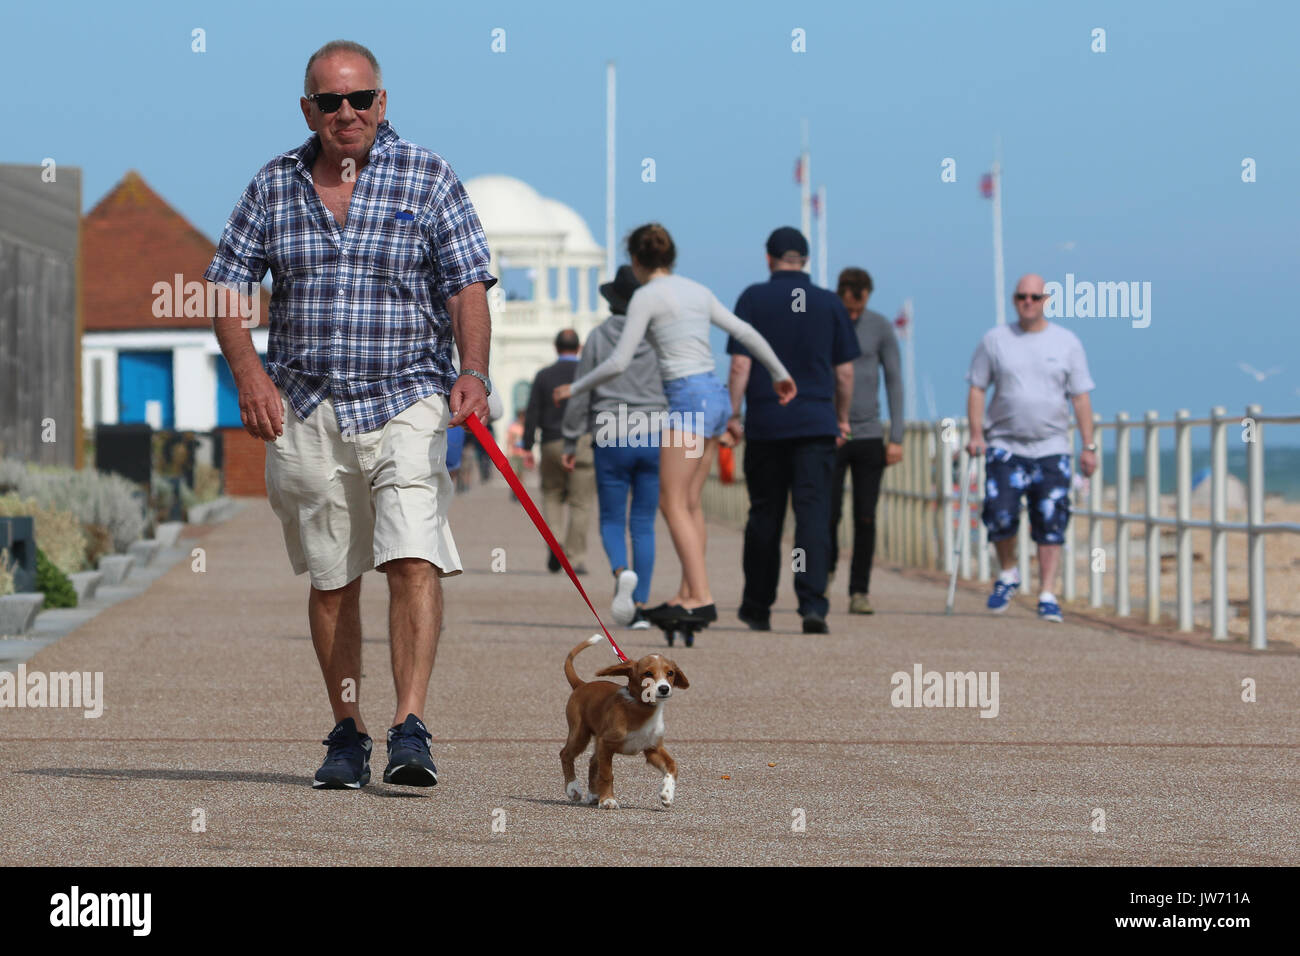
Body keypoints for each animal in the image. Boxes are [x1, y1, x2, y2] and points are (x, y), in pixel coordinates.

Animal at [564, 634, 696, 806]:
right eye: (648, 673)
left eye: (670, 673)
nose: (664, 688)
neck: (641, 709)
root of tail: (581, 684)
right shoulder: (606, 744)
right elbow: (607, 774)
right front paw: (608, 800)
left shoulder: (653, 748)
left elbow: (672, 766)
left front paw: (667, 793)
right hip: (580, 733)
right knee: (566, 754)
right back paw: (572, 789)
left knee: (592, 762)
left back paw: (593, 794)